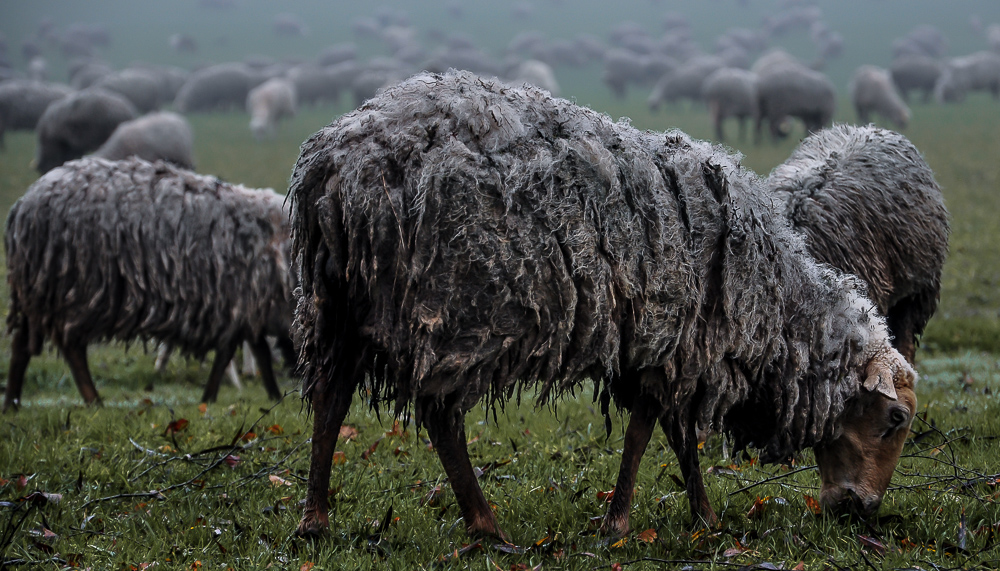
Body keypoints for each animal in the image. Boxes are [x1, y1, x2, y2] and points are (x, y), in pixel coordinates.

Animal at [2, 156, 292, 412]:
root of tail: (22, 208)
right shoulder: (240, 300)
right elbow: (231, 353)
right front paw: (210, 398)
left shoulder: (251, 306)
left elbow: (259, 352)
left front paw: (273, 395)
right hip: (70, 290)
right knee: (70, 349)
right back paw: (93, 400)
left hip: (40, 292)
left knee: (23, 345)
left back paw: (13, 403)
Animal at [288, 70, 916, 540]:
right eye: (896, 419)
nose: (862, 511)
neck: (780, 310)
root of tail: (335, 167)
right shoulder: (679, 344)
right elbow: (659, 436)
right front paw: (648, 522)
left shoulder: (659, 346)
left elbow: (664, 435)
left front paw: (678, 516)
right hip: (457, 309)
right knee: (441, 420)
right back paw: (485, 526)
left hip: (337, 305)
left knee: (330, 401)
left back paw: (315, 521)